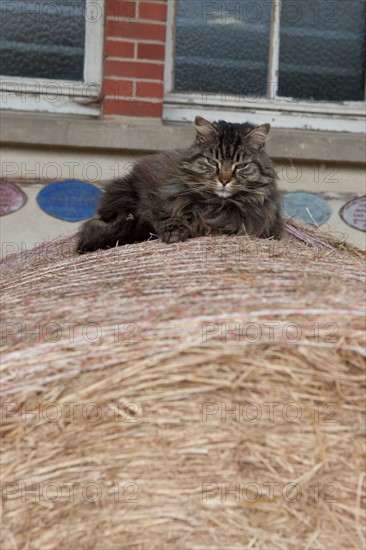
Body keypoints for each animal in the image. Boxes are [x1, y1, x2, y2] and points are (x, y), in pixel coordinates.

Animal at [76, 118, 284, 254]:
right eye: (212, 162)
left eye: (241, 166)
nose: (224, 181)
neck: (214, 204)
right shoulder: (160, 199)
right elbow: (169, 214)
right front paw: (175, 232)